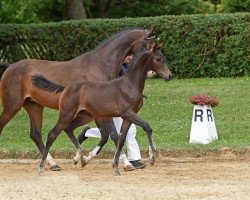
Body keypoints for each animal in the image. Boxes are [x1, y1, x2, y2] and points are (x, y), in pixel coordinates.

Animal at [33, 44, 172, 176]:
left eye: (164, 58)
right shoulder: (128, 113)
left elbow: (121, 139)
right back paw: (42, 168)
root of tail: (65, 88)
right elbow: (147, 127)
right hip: (67, 114)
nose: (169, 76)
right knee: (52, 135)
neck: (129, 85)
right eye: (158, 59)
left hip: (84, 116)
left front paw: (116, 168)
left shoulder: (128, 117)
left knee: (69, 129)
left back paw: (80, 158)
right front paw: (152, 158)